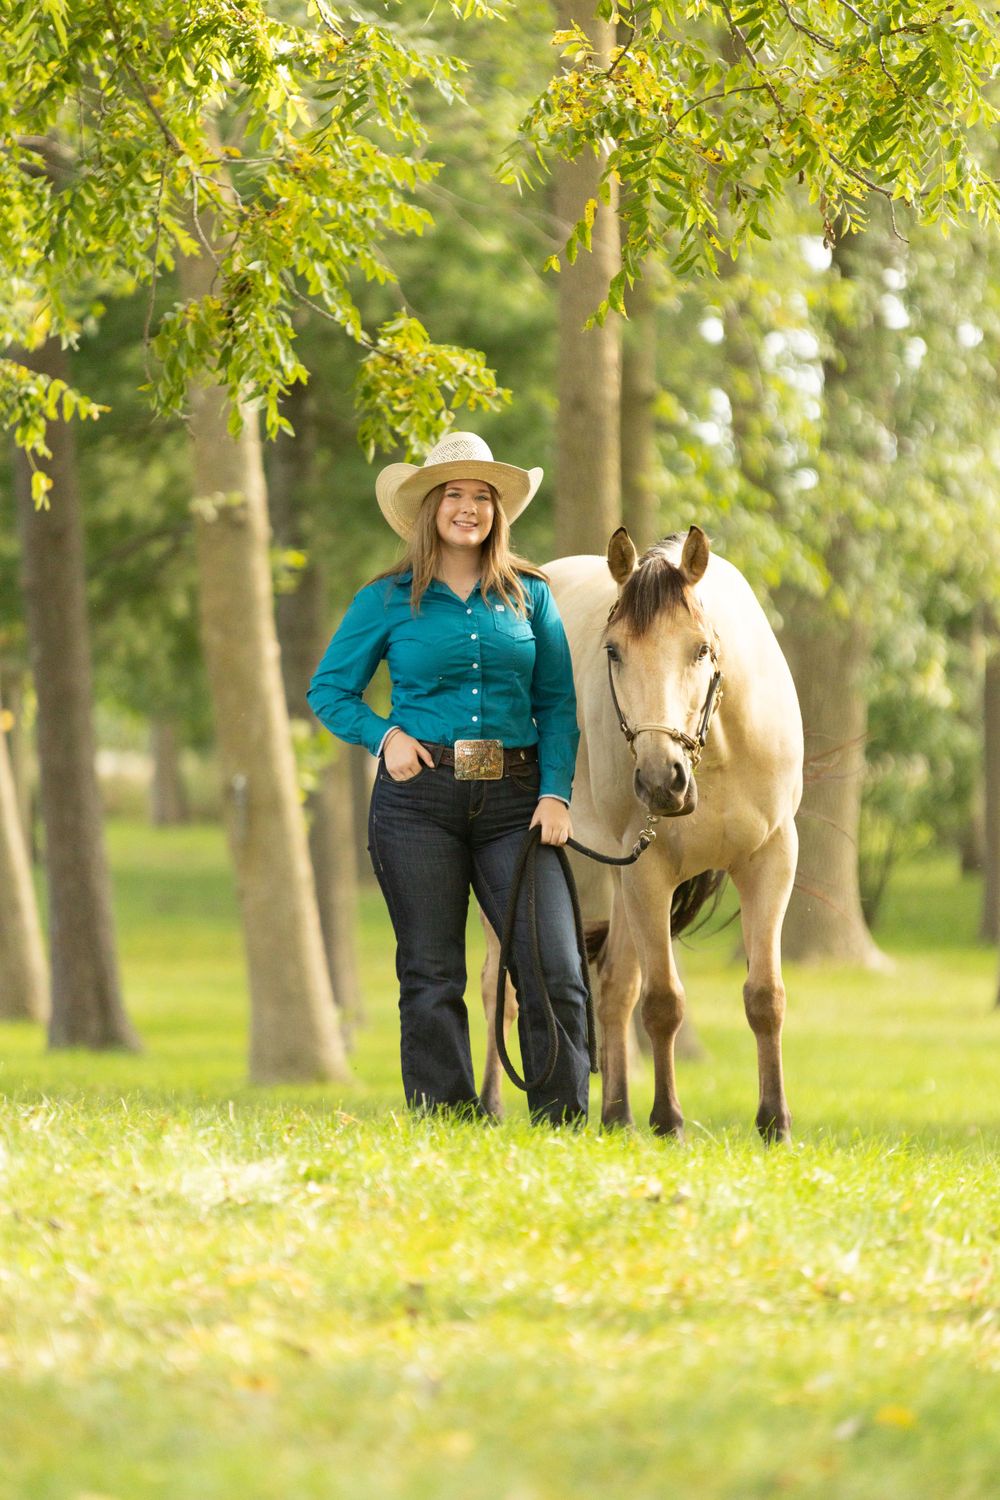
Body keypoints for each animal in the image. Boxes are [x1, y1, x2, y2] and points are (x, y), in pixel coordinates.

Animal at [480, 525, 803, 1141]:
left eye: (700, 648)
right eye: (614, 651)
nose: (660, 780)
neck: (715, 754)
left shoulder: (770, 860)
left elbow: (765, 997)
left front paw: (774, 1122)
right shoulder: (650, 873)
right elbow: (662, 1003)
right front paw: (668, 1121)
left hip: (615, 878)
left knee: (612, 989)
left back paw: (616, 1115)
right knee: (499, 988)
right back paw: (487, 1106)